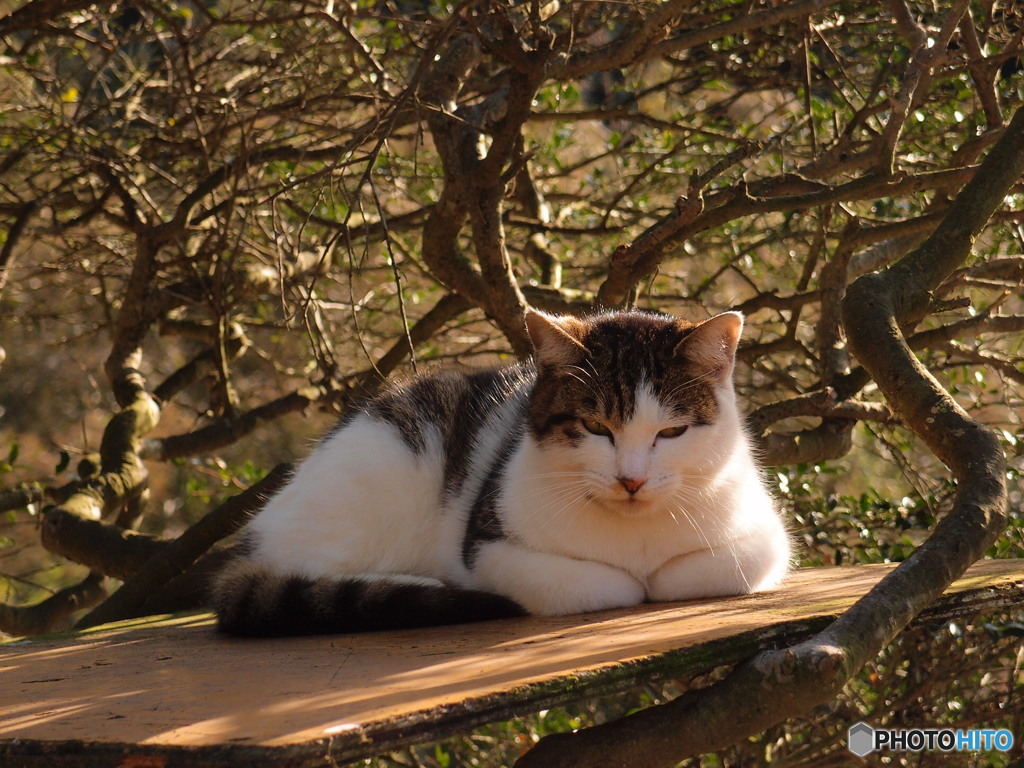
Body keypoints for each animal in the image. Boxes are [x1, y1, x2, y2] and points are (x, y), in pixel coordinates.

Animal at [211, 307, 790, 638]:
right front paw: (631, 582)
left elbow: (726, 566)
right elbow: (602, 583)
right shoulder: (489, 547)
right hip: (379, 467)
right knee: (310, 570)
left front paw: (662, 577)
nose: (632, 480)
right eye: (595, 427)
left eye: (671, 433)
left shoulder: (767, 537)